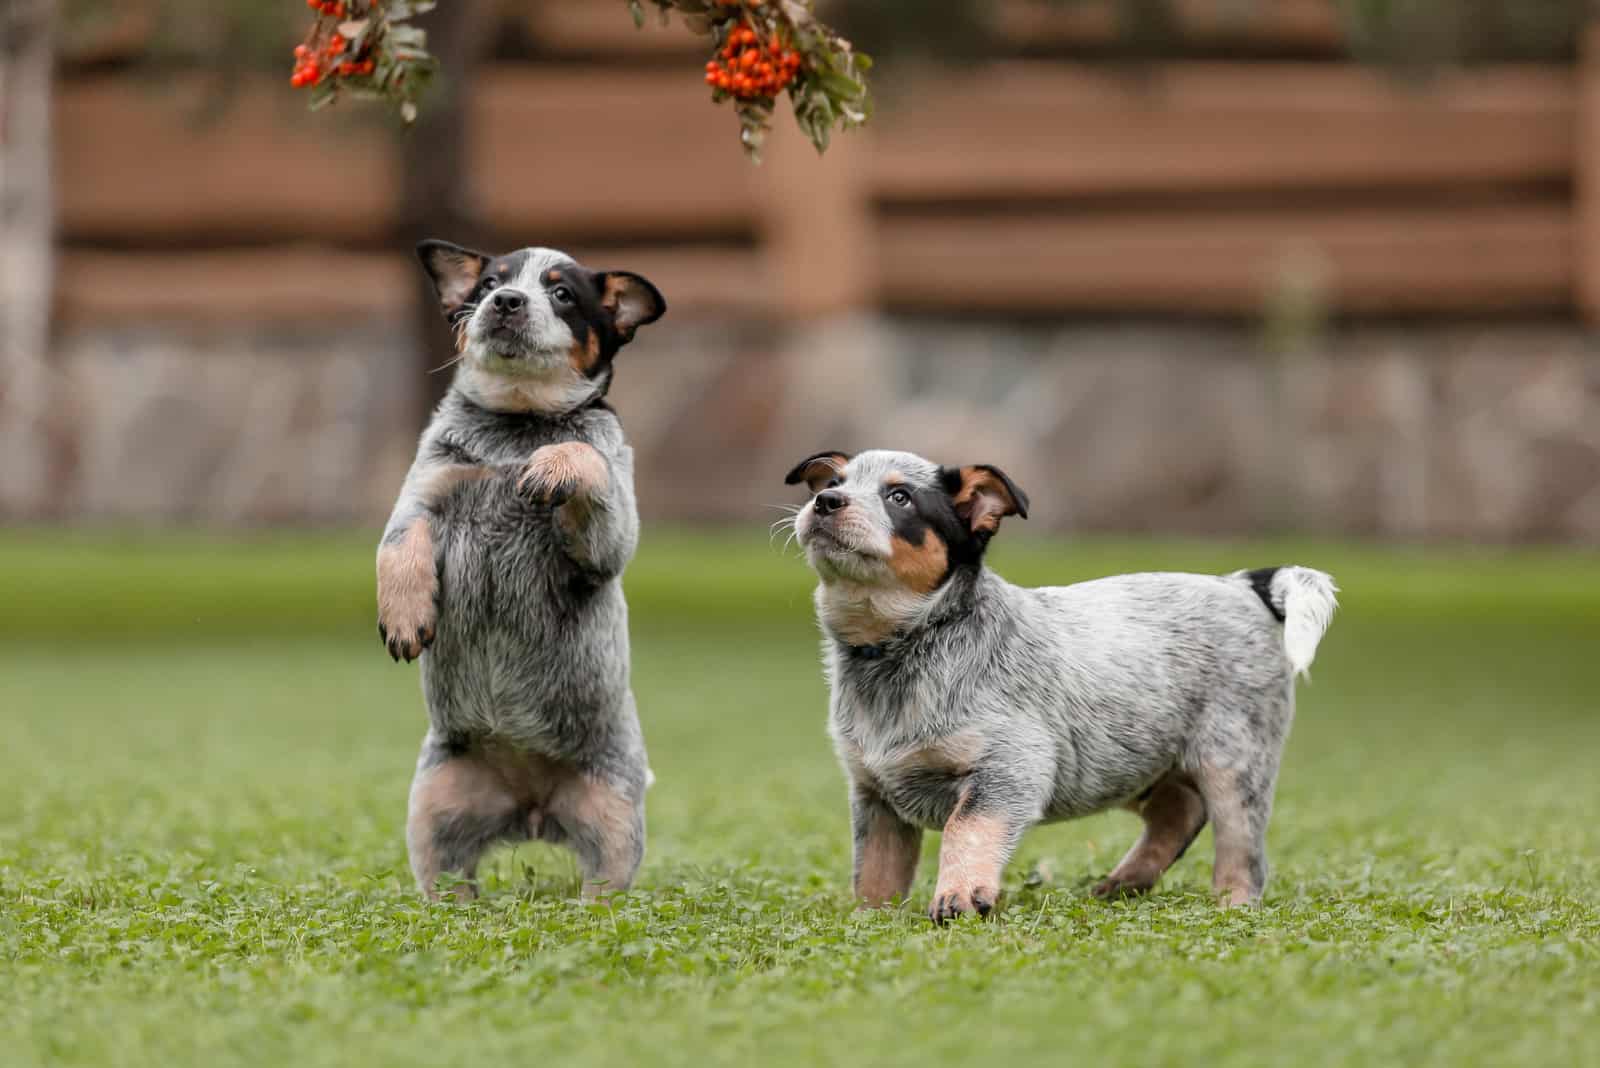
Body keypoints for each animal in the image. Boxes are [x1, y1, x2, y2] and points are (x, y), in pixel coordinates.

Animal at [374, 239, 662, 901]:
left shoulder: (605, 542)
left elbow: (582, 455)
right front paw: (404, 617)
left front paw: (554, 463)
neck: (517, 423)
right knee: (448, 878)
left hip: (612, 814)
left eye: (561, 293)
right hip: (434, 809)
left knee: (605, 881)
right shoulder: (424, 497)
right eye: (488, 284)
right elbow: (396, 549)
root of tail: (530, 807)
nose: (506, 301)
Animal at [784, 447, 1337, 920]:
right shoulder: (874, 794)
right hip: (1121, 759)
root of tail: (1241, 585)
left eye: (899, 497)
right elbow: (874, 875)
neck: (899, 645)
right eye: (833, 483)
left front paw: (959, 896)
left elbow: (967, 827)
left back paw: (1232, 903)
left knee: (1241, 852)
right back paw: (1124, 883)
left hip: (1233, 763)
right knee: (1179, 811)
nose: (825, 502)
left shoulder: (1011, 768)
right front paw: (870, 920)